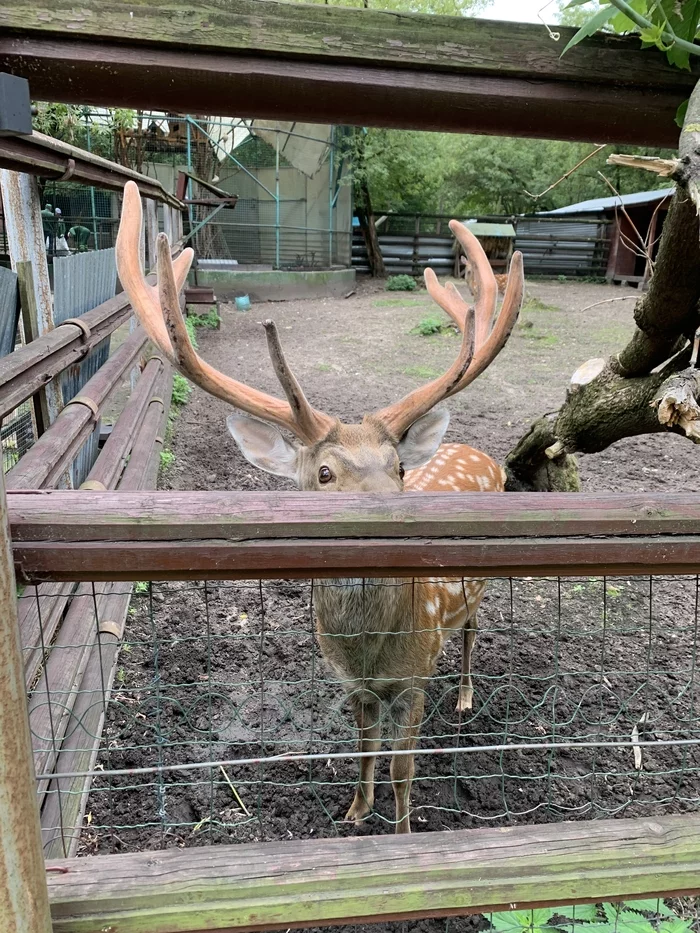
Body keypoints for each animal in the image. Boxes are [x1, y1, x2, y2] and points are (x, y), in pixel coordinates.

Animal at [115, 178, 524, 832]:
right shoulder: (351, 682)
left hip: (478, 588)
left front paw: (402, 829)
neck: (369, 651)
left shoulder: (413, 678)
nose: (408, 523)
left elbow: (404, 770)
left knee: (470, 632)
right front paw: (354, 810)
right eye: (325, 472)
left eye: (399, 467)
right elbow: (363, 748)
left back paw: (463, 696)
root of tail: (479, 452)